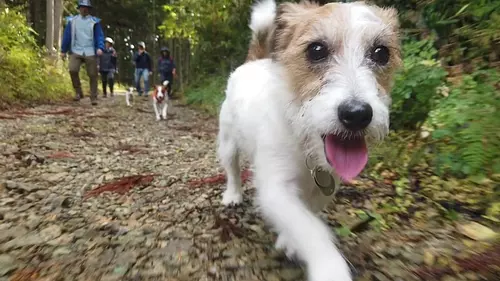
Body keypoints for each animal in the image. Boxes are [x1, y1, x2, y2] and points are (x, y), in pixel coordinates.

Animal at [218, 1, 402, 278]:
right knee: (232, 169)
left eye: (381, 53)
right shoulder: (276, 188)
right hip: (228, 142)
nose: (357, 114)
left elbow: (307, 215)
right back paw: (233, 194)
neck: (304, 141)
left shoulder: (326, 187)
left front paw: (289, 240)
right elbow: (309, 228)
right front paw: (329, 268)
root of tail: (254, 62)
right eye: (316, 50)